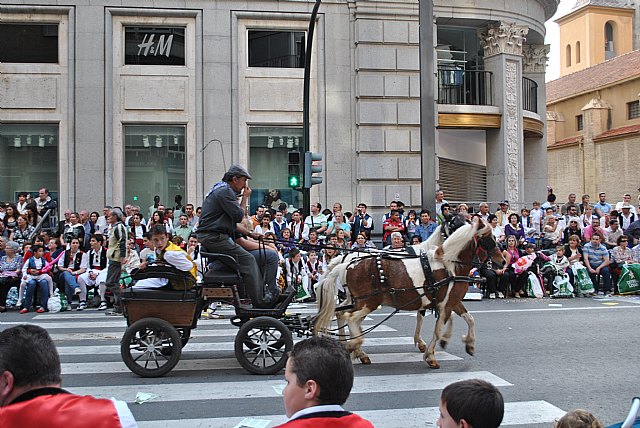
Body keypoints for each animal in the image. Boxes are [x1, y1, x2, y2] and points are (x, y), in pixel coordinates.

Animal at [316, 219, 504, 370]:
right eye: (488, 238)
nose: (502, 261)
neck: (449, 265)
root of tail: (346, 262)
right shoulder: (445, 304)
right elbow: (437, 329)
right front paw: (431, 355)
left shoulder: (452, 301)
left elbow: (469, 319)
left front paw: (468, 344)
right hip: (368, 302)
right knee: (350, 318)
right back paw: (353, 346)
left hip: (357, 301)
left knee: (343, 315)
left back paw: (353, 348)